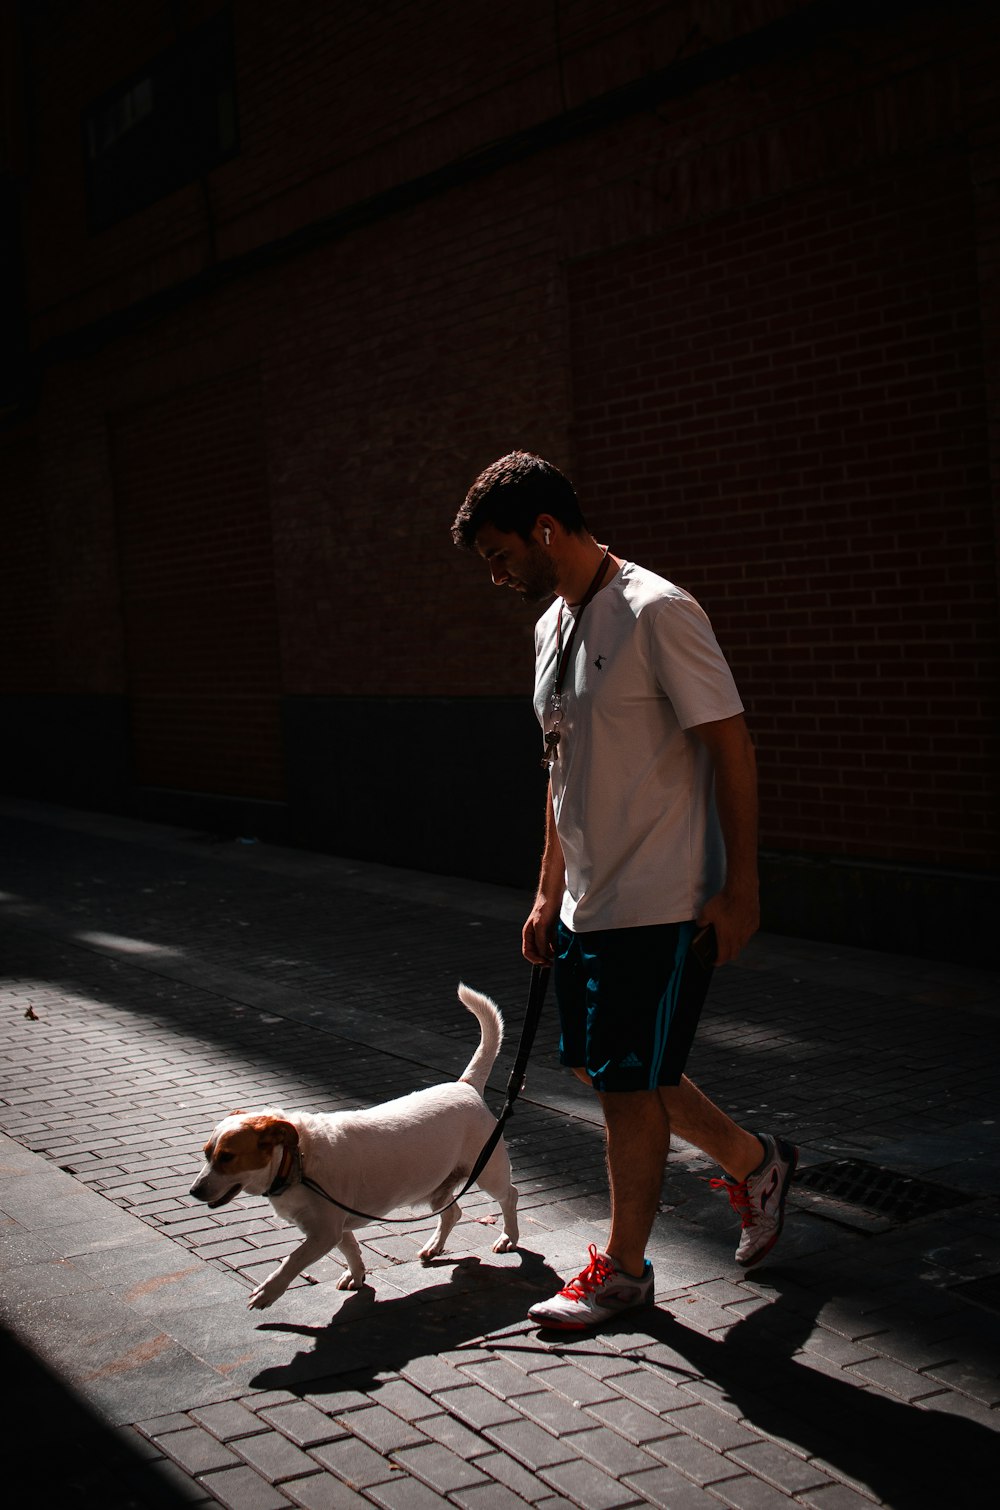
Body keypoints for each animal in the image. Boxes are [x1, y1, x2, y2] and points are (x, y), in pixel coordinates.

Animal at [188, 984, 519, 1304]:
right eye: (206, 1154)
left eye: (227, 1157)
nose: (194, 1192)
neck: (298, 1160)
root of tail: (466, 1086)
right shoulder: (334, 1226)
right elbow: (349, 1249)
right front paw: (356, 1275)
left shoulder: (322, 1233)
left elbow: (292, 1260)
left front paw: (268, 1291)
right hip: (437, 1187)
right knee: (452, 1212)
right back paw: (434, 1246)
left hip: (488, 1173)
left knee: (509, 1196)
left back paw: (508, 1237)